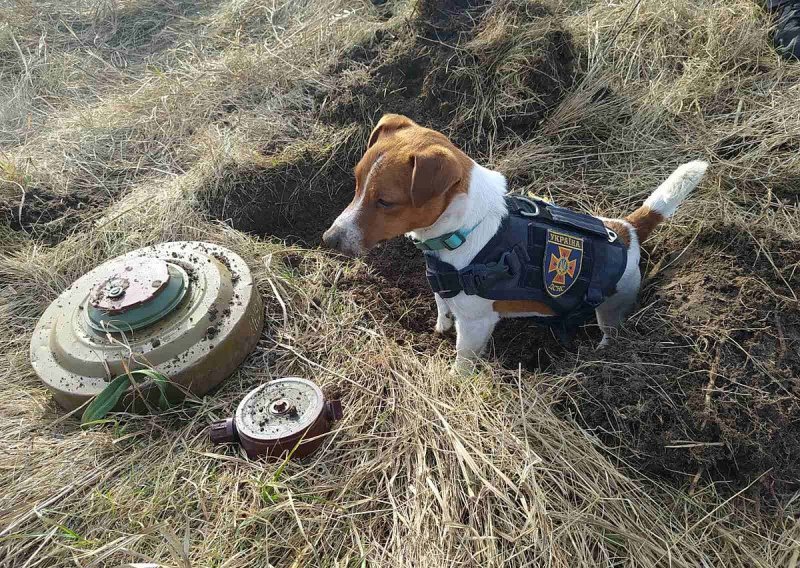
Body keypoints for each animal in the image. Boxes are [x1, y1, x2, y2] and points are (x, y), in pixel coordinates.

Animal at [322, 114, 708, 372]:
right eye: (356, 183)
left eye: (386, 202)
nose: (328, 239)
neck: (465, 228)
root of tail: (626, 229)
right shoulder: (443, 289)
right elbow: (442, 308)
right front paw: (439, 328)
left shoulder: (475, 324)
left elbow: (463, 360)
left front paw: (455, 379)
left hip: (613, 307)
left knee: (611, 331)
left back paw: (602, 353)